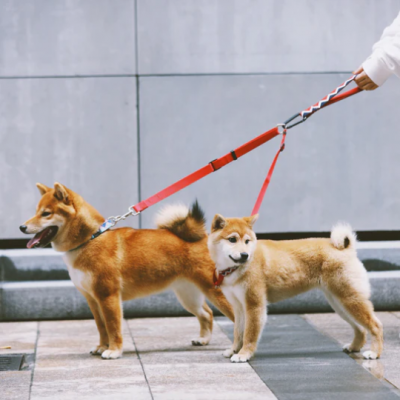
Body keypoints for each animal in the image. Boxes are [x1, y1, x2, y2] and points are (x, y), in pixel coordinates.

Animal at [21, 184, 234, 360]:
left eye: (46, 213)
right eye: (36, 212)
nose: (21, 227)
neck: (90, 239)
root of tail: (204, 237)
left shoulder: (108, 296)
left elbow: (113, 327)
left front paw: (113, 351)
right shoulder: (93, 299)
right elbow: (102, 327)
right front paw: (101, 347)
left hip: (214, 292)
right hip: (188, 295)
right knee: (206, 314)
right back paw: (203, 339)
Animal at [208, 216, 382, 362]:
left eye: (247, 241)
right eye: (232, 239)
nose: (245, 255)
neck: (236, 269)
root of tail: (346, 248)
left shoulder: (254, 305)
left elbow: (249, 335)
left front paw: (244, 354)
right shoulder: (238, 307)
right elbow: (238, 333)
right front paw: (233, 350)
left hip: (349, 299)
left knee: (375, 325)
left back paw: (374, 353)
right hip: (340, 304)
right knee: (360, 328)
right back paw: (354, 347)